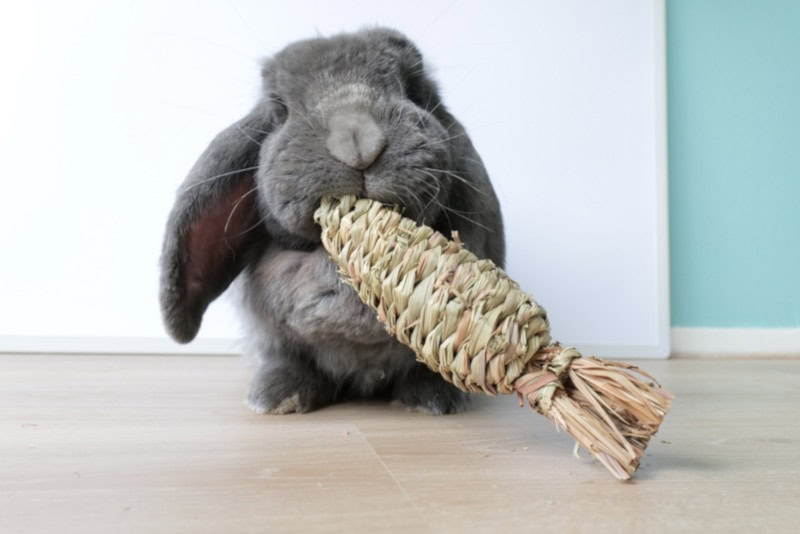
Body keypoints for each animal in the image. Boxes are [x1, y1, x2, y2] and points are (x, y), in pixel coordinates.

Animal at [159, 27, 505, 415]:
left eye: (414, 89)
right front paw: (277, 397)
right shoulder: (275, 336)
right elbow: (288, 358)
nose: (357, 141)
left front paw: (431, 399)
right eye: (279, 109)